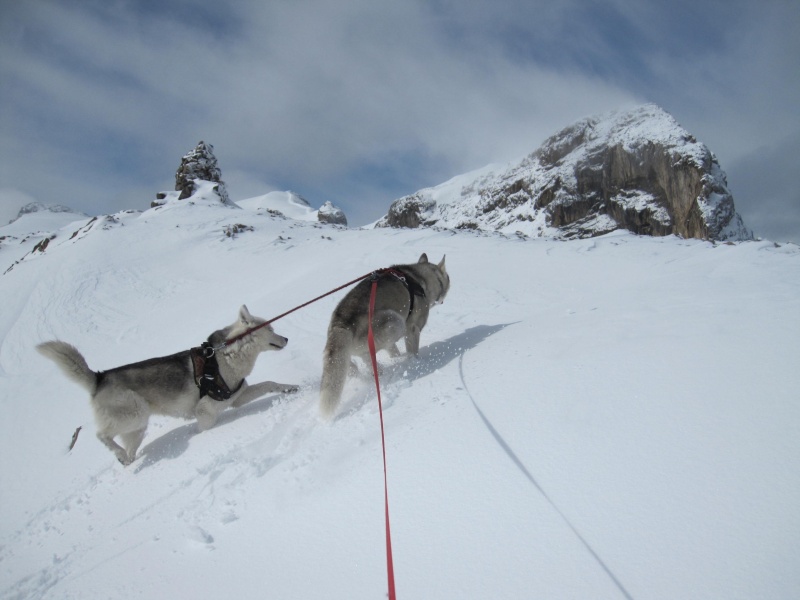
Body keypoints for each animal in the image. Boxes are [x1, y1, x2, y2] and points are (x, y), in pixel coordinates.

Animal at [37, 304, 296, 464]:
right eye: (271, 328)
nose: (286, 338)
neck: (228, 355)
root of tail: (99, 377)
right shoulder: (206, 411)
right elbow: (204, 429)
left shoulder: (237, 397)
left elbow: (270, 383)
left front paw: (291, 388)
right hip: (136, 414)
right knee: (101, 435)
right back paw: (117, 452)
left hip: (137, 429)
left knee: (128, 452)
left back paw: (125, 460)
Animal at [320, 252, 450, 418]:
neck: (420, 278)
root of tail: (340, 322)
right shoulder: (413, 329)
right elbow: (412, 350)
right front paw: (415, 362)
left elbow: (393, 350)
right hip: (395, 322)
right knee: (370, 354)